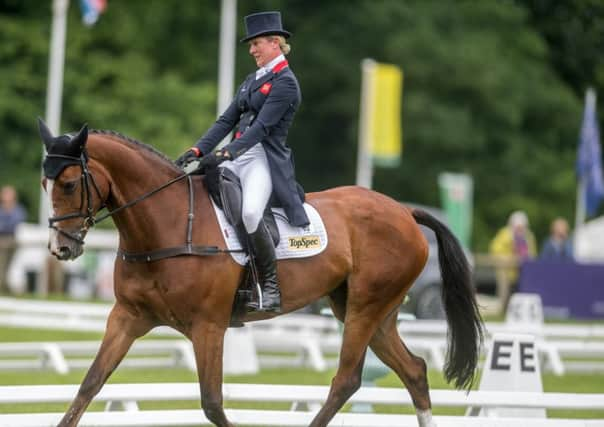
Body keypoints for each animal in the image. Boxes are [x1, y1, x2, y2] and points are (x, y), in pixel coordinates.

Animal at [37, 119, 482, 427]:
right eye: (45, 183)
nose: (61, 248)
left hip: (365, 308)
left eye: (70, 183)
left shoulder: (208, 327)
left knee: (346, 380)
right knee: (414, 370)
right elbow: (89, 384)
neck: (166, 224)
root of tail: (404, 211)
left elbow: (213, 404)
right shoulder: (127, 317)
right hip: (371, 310)